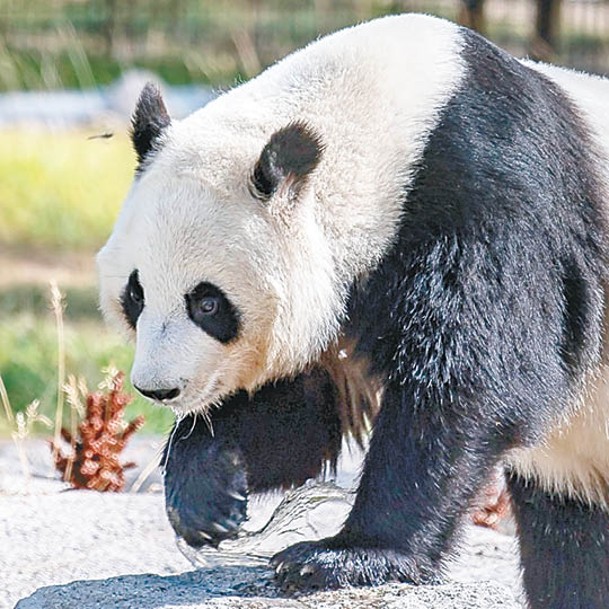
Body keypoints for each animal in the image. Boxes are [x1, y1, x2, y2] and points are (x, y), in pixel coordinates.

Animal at [96, 13, 609, 608]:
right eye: (136, 295)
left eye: (207, 302)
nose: (158, 389)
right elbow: (303, 414)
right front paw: (206, 493)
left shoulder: (493, 202)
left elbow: (475, 385)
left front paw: (342, 557)